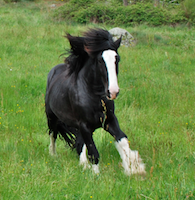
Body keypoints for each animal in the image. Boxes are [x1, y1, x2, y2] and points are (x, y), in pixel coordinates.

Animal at [45, 28, 145, 175]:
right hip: (52, 117)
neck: (95, 97)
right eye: (100, 61)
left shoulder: (109, 120)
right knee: (53, 134)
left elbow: (122, 140)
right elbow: (94, 152)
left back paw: (83, 164)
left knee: (79, 143)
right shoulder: (85, 125)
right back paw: (53, 155)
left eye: (117, 59)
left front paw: (135, 169)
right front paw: (96, 176)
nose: (113, 91)